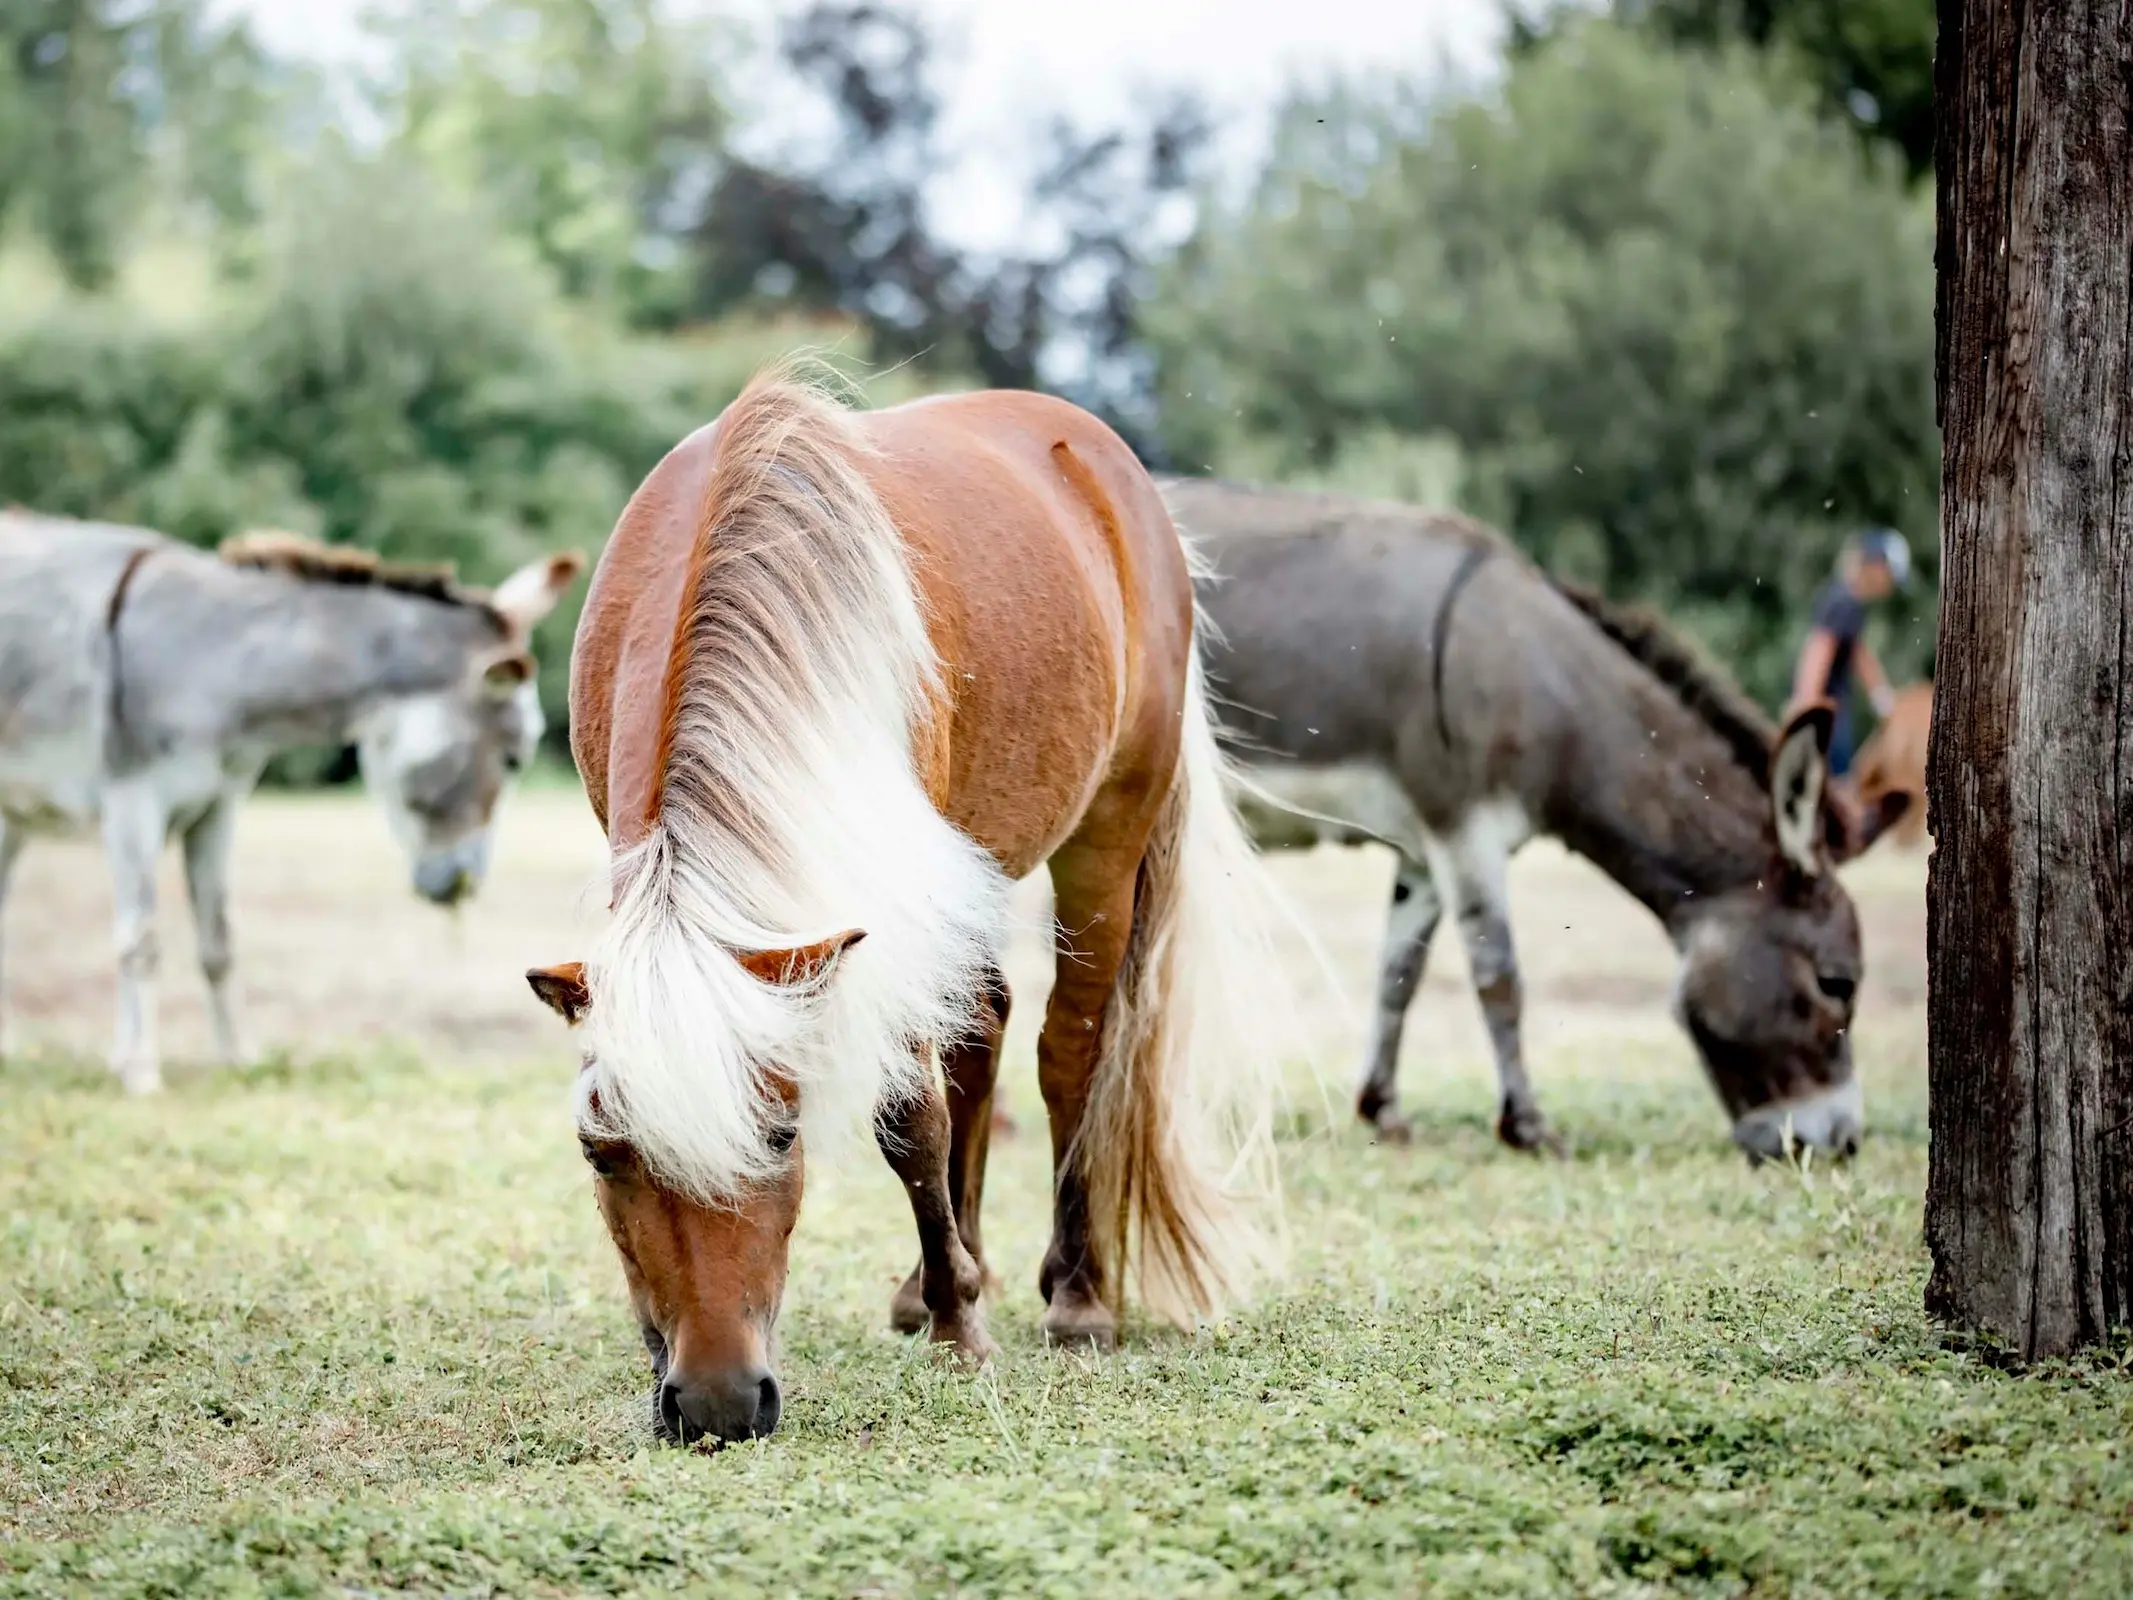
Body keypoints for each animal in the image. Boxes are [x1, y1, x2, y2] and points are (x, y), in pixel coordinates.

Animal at [528, 375, 1279, 1450]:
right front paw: (947, 1290)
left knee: (1072, 1049)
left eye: (782, 1136)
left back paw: (1074, 1294)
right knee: (981, 1034)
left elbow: (906, 1118)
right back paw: (938, 1278)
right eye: (601, 1152)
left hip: (1106, 831)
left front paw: (964, 1332)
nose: (716, 1405)